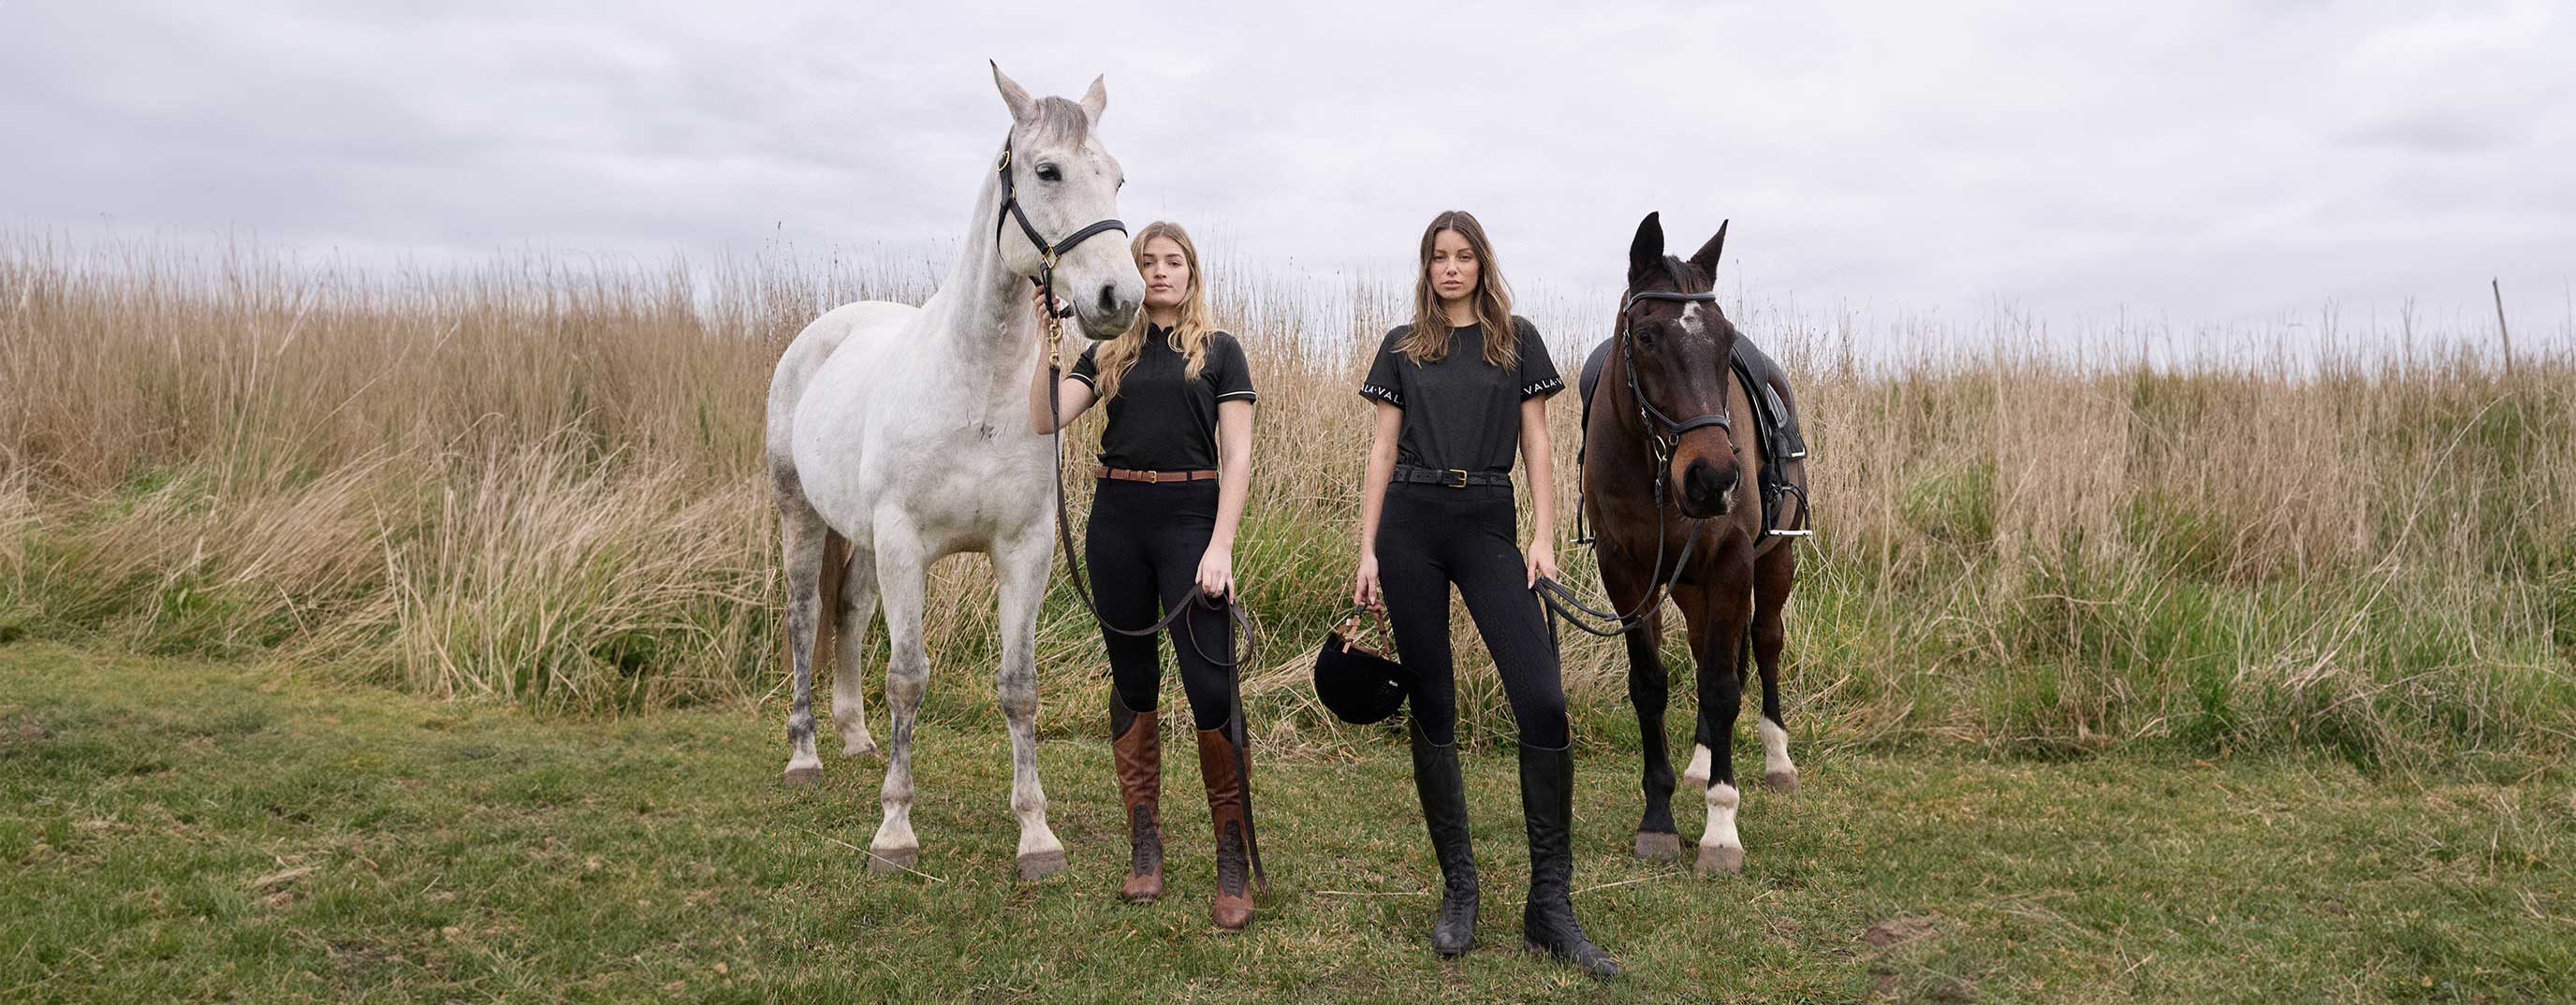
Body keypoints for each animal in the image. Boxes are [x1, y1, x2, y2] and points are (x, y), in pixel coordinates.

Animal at [762, 65, 1149, 881]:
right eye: (1047, 170)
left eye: (1118, 177)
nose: (1118, 299)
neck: (977, 388)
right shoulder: (907, 546)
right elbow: (908, 678)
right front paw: (894, 832)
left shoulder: (1023, 550)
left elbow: (1019, 688)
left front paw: (1036, 835)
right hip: (800, 515)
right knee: (805, 618)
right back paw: (806, 755)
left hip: (862, 538)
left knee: (848, 616)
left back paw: (854, 737)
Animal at [1556, 212, 1803, 870]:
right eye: (1645, 336)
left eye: (1725, 338)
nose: (1713, 478)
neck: (1656, 466)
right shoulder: (1626, 573)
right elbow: (1652, 686)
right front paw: (1660, 818)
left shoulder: (1732, 563)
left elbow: (1721, 687)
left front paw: (1721, 828)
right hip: (1689, 584)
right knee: (1703, 650)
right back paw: (1699, 762)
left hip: (1775, 562)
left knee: (1764, 645)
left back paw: (1777, 760)